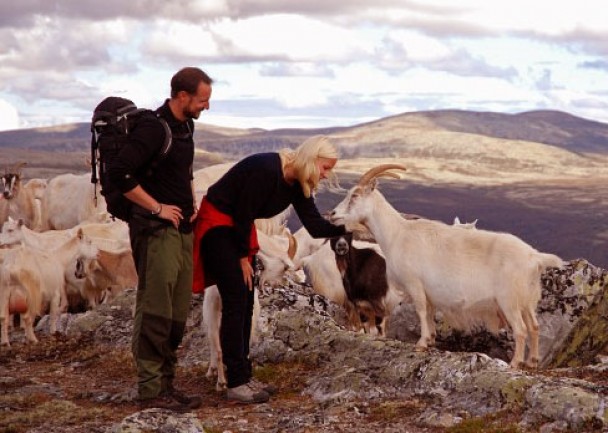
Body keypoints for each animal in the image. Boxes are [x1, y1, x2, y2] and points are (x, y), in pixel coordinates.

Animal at [330, 164, 564, 366]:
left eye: (355, 195)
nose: (332, 214)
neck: (397, 234)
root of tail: (534, 257)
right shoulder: (429, 292)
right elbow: (429, 314)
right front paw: (431, 339)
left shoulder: (415, 284)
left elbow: (421, 311)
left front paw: (421, 343)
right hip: (527, 301)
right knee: (534, 326)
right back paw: (532, 362)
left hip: (509, 301)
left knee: (521, 329)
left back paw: (515, 363)